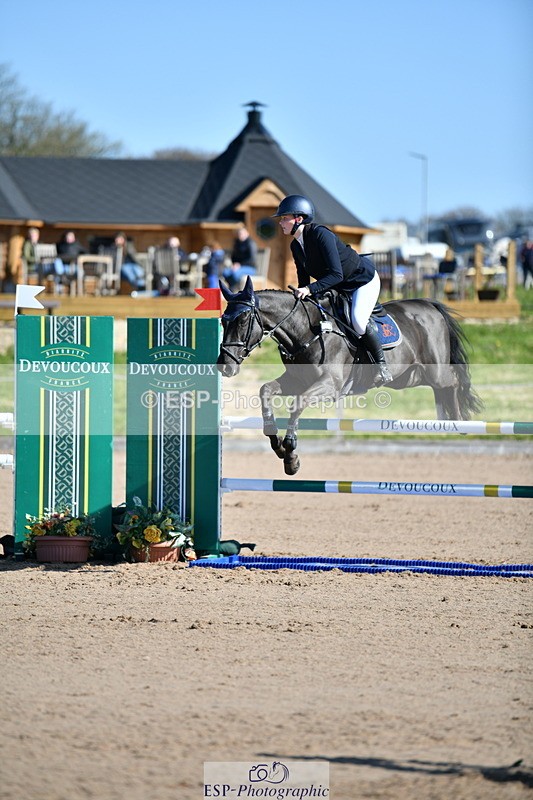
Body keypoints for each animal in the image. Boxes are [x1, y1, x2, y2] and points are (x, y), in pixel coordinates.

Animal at [217, 277, 482, 475]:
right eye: (223, 320)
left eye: (243, 320)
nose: (224, 366)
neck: (305, 329)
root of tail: (430, 305)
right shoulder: (296, 381)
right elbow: (266, 390)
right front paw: (276, 443)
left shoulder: (330, 386)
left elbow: (297, 404)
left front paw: (290, 455)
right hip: (409, 377)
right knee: (441, 387)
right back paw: (447, 418)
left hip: (435, 371)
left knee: (454, 381)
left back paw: (459, 420)